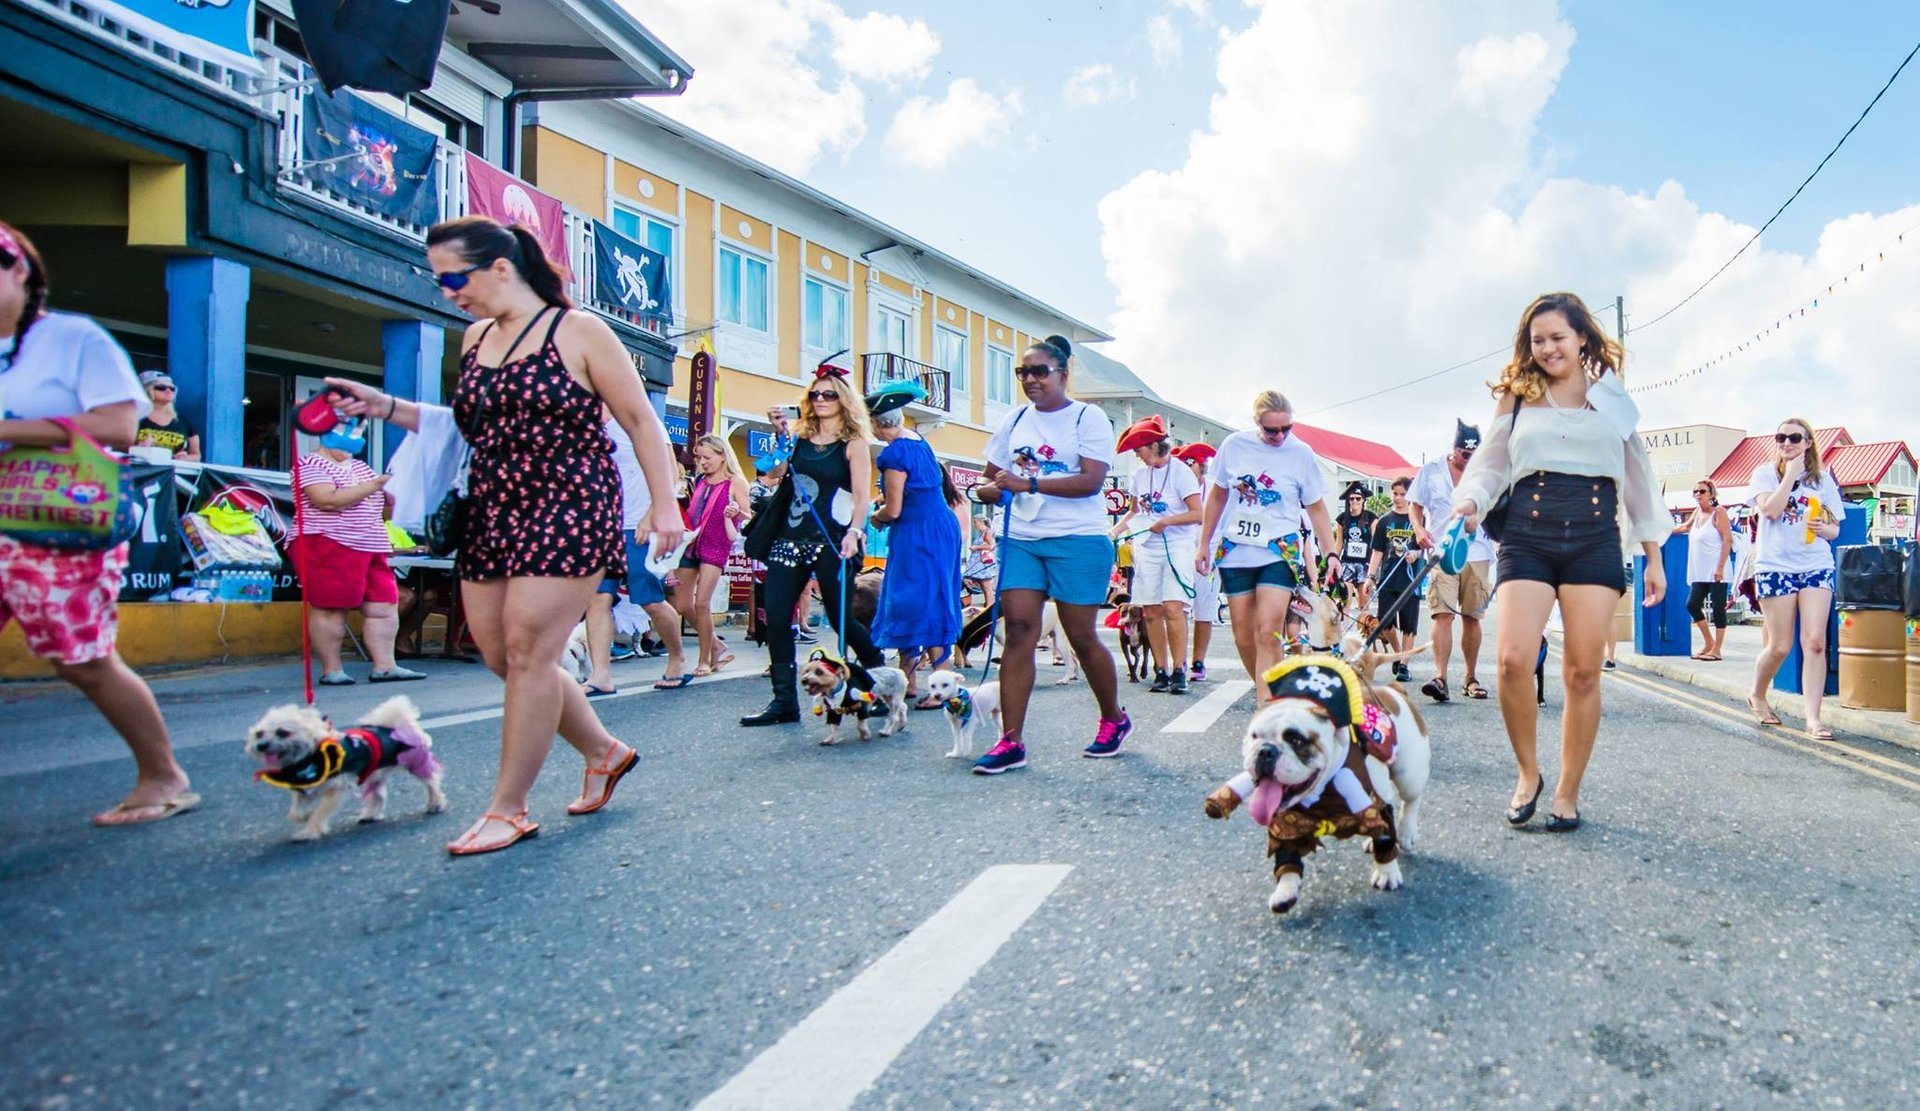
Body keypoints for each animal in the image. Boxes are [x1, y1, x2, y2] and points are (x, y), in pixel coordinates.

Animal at [241, 694, 443, 844]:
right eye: (259, 734)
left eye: (283, 732)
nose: (261, 746)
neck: (308, 756)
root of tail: (395, 726)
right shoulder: (302, 789)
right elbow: (295, 813)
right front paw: (306, 817)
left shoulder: (334, 791)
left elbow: (319, 813)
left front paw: (310, 830)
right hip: (376, 774)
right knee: (379, 795)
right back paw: (370, 815)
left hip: (416, 764)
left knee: (432, 784)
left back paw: (436, 804)